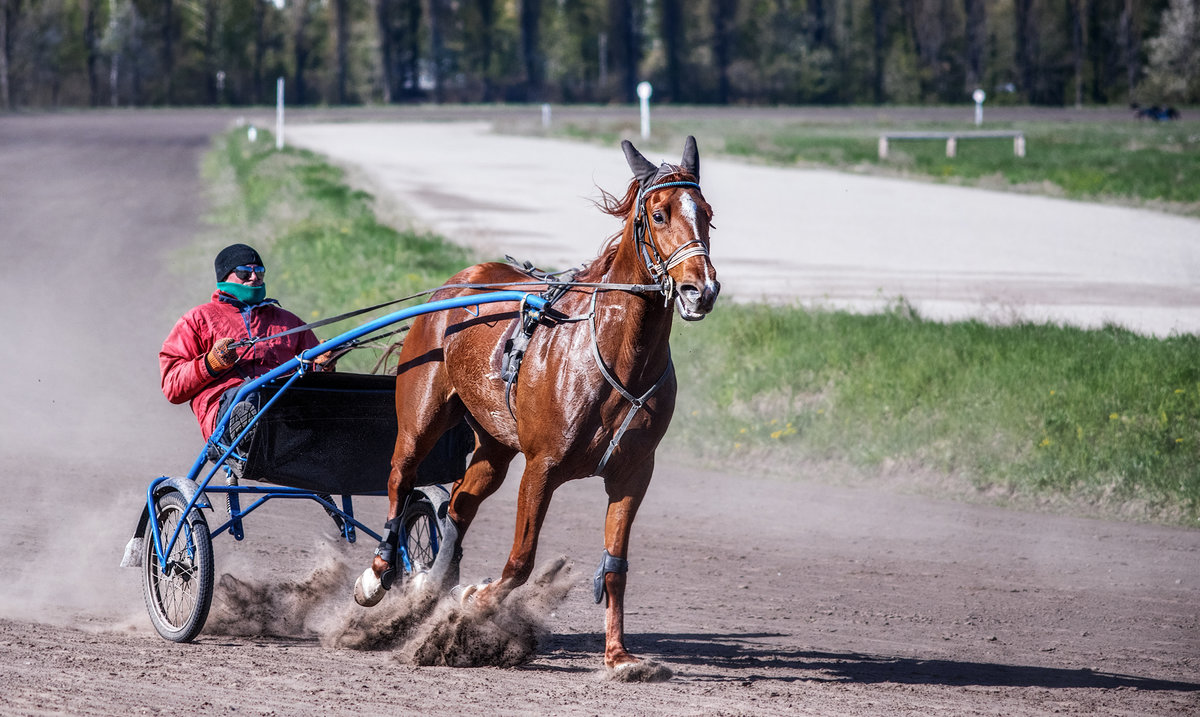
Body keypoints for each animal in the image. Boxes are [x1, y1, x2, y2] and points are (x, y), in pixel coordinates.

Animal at [350, 136, 715, 676]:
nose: (701, 289)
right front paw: (474, 600)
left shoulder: (633, 473)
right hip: (422, 412)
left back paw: (430, 586)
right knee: (400, 477)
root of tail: (460, 282)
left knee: (460, 501)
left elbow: (615, 567)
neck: (612, 353)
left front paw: (619, 656)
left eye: (707, 214)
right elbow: (520, 560)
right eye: (659, 214)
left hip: (494, 443)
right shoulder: (542, 466)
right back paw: (378, 576)